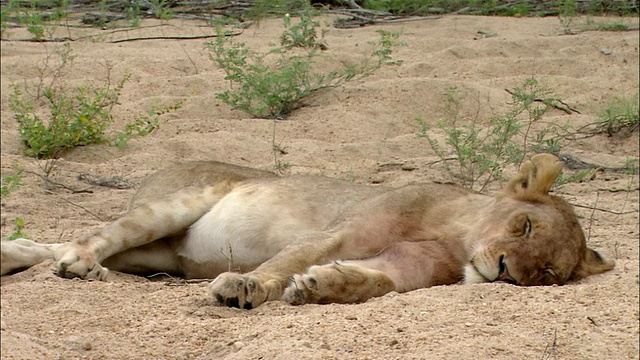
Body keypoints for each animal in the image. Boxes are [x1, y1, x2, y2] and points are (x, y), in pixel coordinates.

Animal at [0, 153, 612, 308]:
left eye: (547, 274)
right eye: (523, 224)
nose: (506, 273)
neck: (456, 238)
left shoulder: (407, 268)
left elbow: (376, 282)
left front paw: (322, 287)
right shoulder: (339, 231)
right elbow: (287, 259)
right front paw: (243, 287)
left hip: (159, 257)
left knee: (53, 246)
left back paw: (19, 255)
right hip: (173, 206)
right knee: (94, 234)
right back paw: (81, 264)